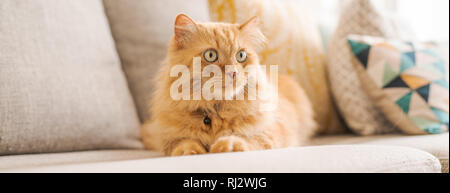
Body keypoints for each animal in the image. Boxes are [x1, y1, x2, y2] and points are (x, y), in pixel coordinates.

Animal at [142, 13, 316, 156]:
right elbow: (183, 143)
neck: (215, 110)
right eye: (210, 55)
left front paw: (226, 145)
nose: (233, 72)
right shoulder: (169, 138)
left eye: (241, 55)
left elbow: (247, 138)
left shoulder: (273, 130)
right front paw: (192, 151)